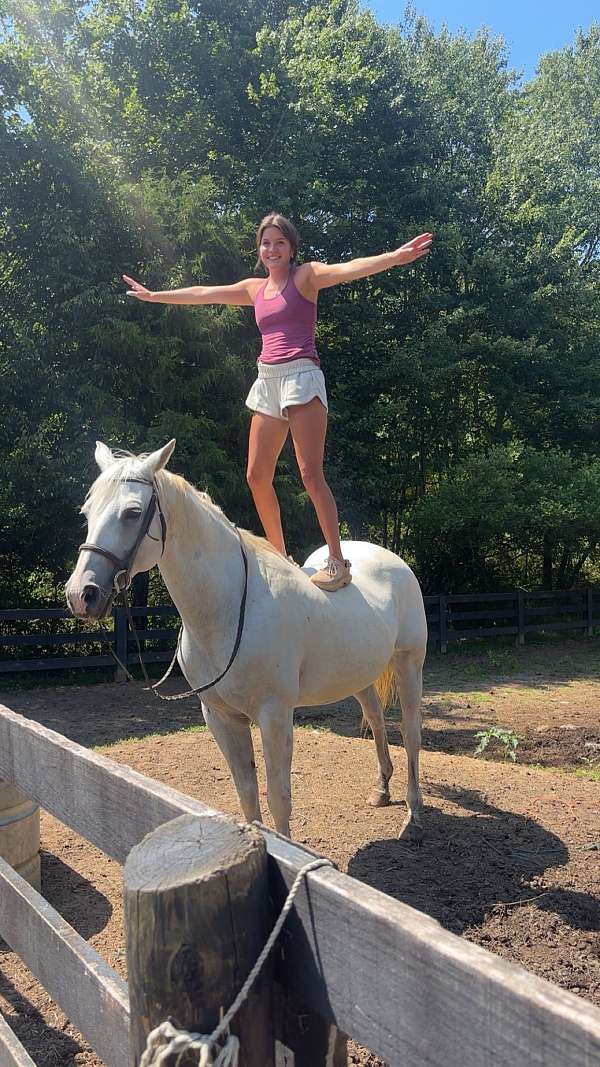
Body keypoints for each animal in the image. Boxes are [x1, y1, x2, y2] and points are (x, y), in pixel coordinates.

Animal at [65, 440, 428, 841]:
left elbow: (279, 799)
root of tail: (391, 559)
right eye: (87, 512)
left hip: (409, 664)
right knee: (376, 719)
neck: (228, 610)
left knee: (411, 732)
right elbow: (247, 794)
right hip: (359, 675)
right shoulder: (221, 718)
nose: (81, 594)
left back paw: (413, 816)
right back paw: (382, 790)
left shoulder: (275, 716)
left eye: (132, 513)